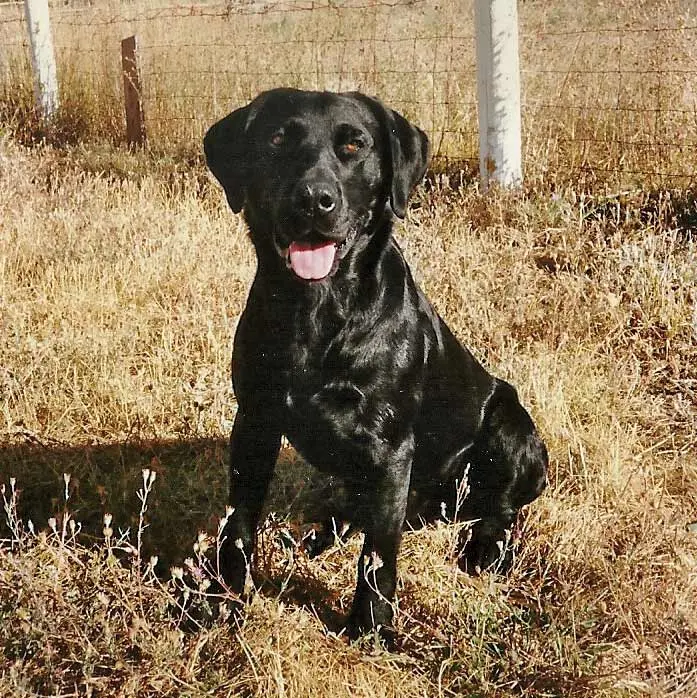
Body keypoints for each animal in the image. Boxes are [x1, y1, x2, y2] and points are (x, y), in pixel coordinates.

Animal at [204, 88, 548, 636]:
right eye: (277, 139)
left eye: (354, 145)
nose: (314, 200)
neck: (317, 311)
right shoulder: (254, 423)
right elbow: (238, 523)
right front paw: (224, 599)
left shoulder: (390, 448)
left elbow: (379, 553)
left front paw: (369, 626)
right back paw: (320, 534)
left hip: (509, 423)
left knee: (500, 508)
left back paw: (482, 548)